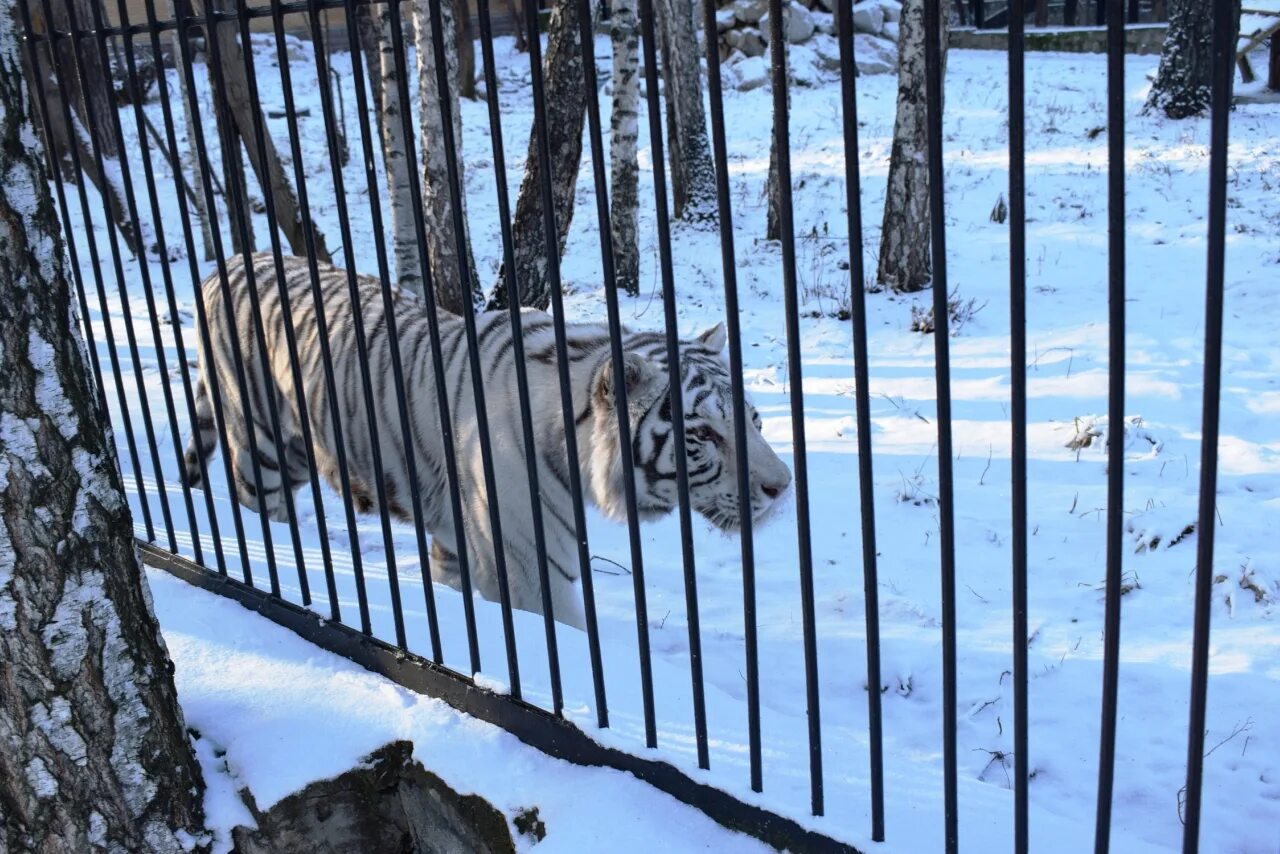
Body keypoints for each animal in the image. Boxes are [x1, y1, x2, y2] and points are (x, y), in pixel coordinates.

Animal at [183, 253, 788, 627]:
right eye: (703, 433)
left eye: (755, 423)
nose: (783, 488)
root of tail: (223, 266)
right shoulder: (532, 569)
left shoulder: (458, 541)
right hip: (260, 448)